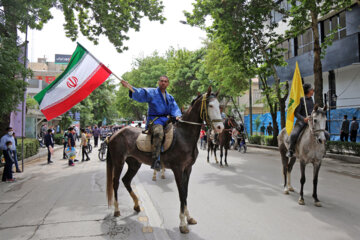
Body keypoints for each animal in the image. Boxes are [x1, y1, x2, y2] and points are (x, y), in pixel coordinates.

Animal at [107, 87, 224, 233]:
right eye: (210, 105)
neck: (184, 135)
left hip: (134, 163)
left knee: (126, 180)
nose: (220, 128)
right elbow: (181, 194)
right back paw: (117, 210)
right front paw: (182, 224)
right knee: (115, 182)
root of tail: (114, 134)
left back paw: (136, 205)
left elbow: (185, 193)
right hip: (118, 162)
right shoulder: (178, 169)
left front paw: (188, 218)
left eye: (220, 106)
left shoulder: (188, 169)